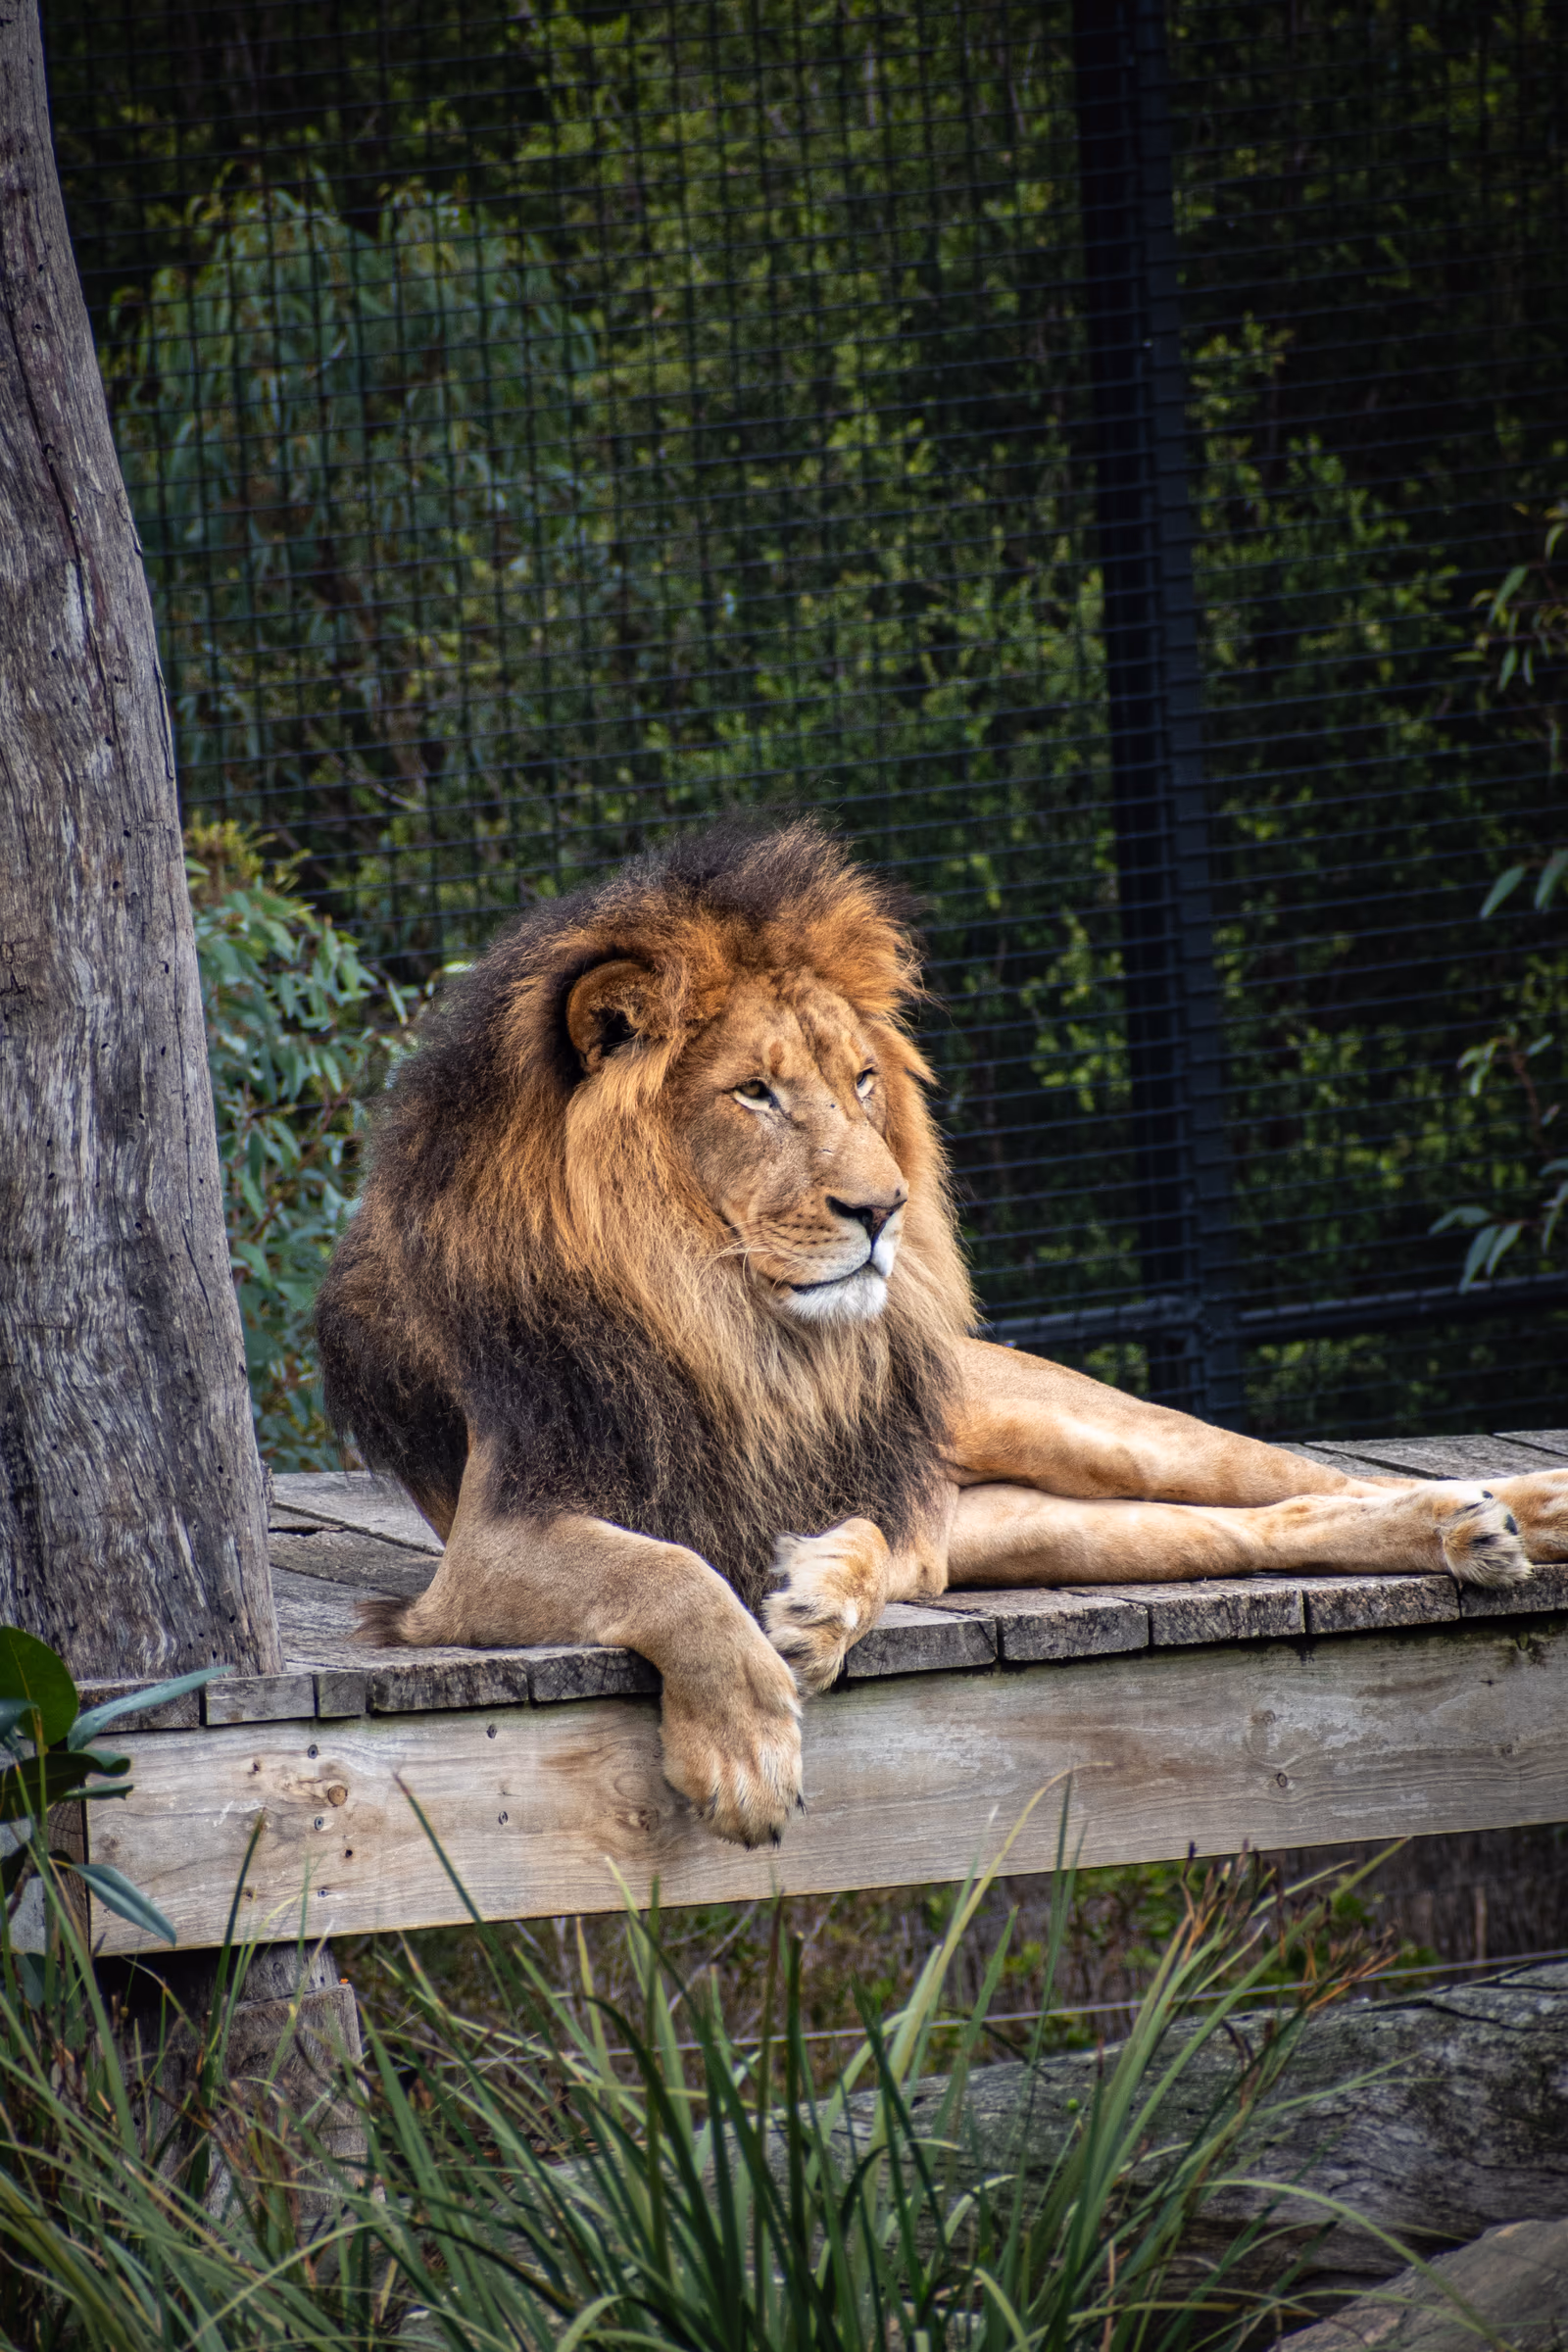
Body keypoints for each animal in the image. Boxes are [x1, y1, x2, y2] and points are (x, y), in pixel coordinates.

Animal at [315, 821, 1568, 1847]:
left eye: (864, 1082)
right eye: (754, 1094)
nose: (882, 1210)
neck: (734, 1325)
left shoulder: (891, 1505)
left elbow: (832, 1544)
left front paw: (814, 1603)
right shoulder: (489, 1543)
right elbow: (672, 1571)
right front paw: (752, 1738)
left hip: (1075, 1427)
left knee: (1293, 1477)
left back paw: (1510, 1512)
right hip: (1055, 1529)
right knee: (1258, 1532)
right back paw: (1471, 1532)